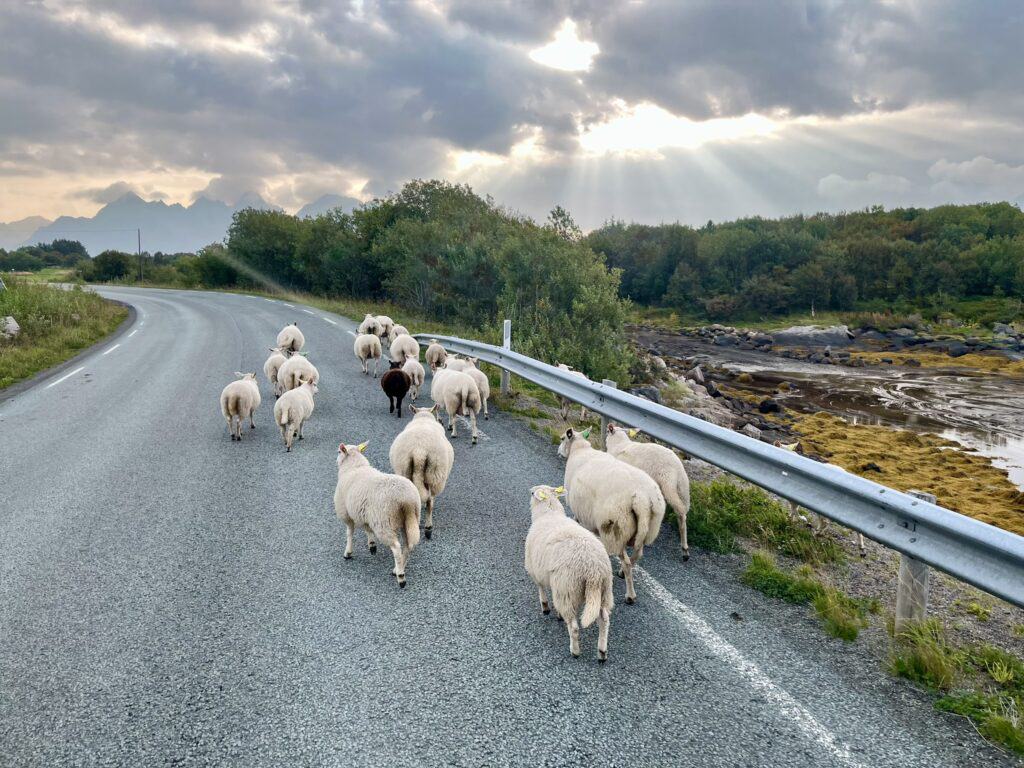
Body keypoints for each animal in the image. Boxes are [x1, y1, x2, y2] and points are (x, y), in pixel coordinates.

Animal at [331, 442, 419, 585]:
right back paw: (398, 568)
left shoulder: (346, 513)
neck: (355, 467)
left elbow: (349, 533)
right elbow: (367, 529)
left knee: (396, 547)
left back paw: (400, 576)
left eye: (339, 452)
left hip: (384, 522)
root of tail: (406, 500)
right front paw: (372, 545)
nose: (335, 461)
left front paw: (348, 553)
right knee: (407, 546)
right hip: (410, 520)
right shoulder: (364, 513)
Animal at [389, 403, 454, 540]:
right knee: (430, 501)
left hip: (405, 471)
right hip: (434, 474)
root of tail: (419, 450)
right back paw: (428, 528)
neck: (423, 418)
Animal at [524, 487, 610, 663]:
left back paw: (575, 651)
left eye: (532, 494)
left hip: (567, 589)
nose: (530, 492)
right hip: (603, 590)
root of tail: (593, 569)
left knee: (574, 626)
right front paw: (556, 612)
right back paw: (602, 652)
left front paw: (546, 607)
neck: (549, 513)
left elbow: (541, 588)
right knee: (604, 620)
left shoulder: (536, 569)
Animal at [557, 430, 667, 606]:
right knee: (637, 555)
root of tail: (642, 498)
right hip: (647, 529)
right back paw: (622, 572)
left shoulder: (579, 510)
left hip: (616, 529)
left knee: (627, 561)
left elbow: (577, 522)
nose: (558, 452)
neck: (580, 449)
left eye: (562, 438)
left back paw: (630, 595)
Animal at [602, 428, 692, 561]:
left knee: (680, 512)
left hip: (668, 484)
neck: (619, 444)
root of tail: (679, 467)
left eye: (608, 432)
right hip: (681, 488)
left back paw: (684, 549)